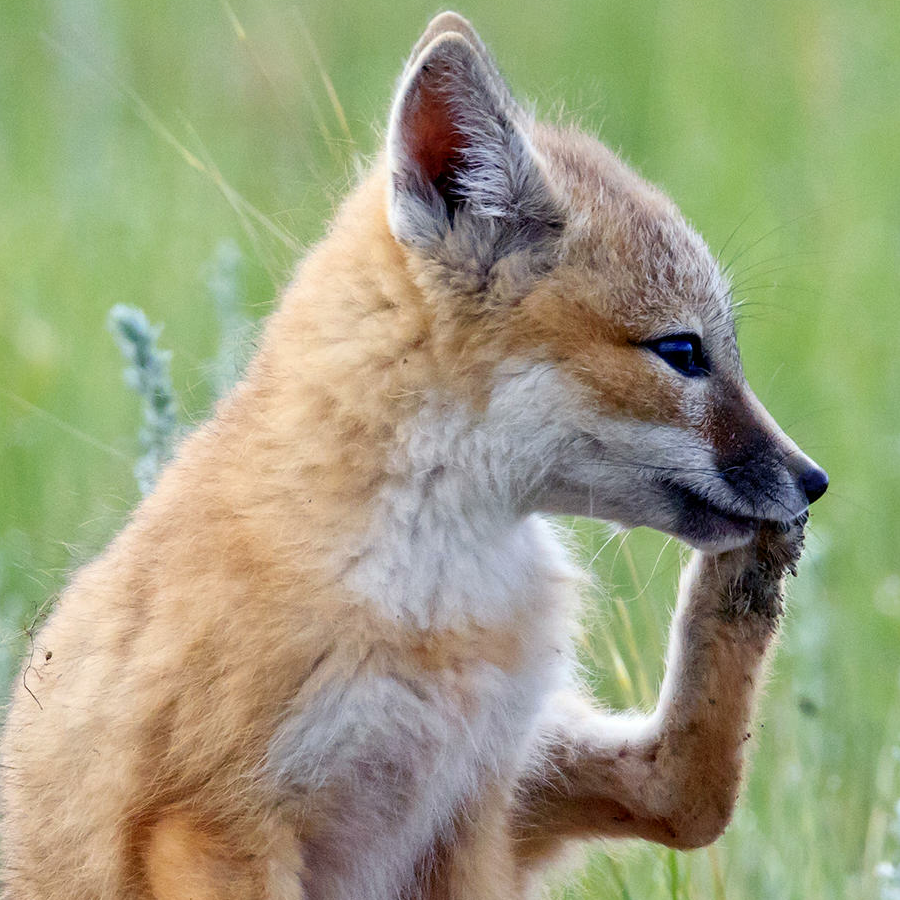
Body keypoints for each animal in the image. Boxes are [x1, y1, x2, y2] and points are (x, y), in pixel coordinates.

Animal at [0, 14, 828, 900]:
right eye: (682, 352)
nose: (812, 482)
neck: (431, 601)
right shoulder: (213, 826)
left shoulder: (472, 805)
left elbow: (678, 803)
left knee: (686, 798)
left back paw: (743, 588)